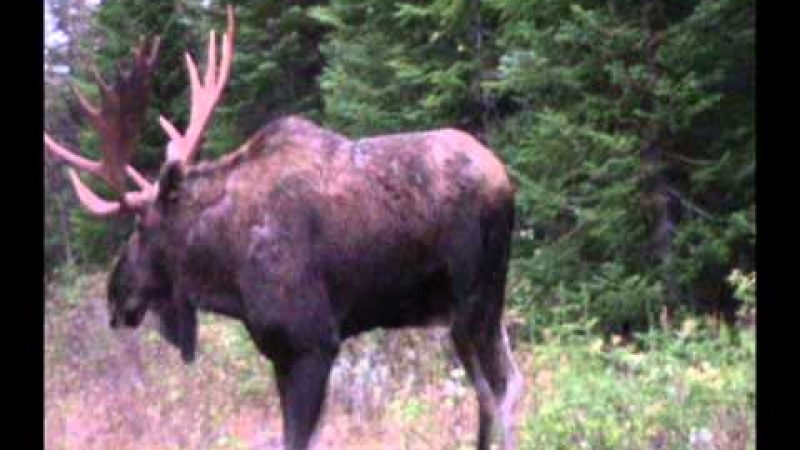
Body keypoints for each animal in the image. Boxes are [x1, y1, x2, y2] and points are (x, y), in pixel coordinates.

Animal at [43, 7, 520, 450]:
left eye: (141, 227)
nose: (114, 294)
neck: (224, 271)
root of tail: (505, 180)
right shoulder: (280, 353)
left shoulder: (311, 342)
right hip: (464, 312)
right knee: (495, 386)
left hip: (476, 299)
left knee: (502, 387)